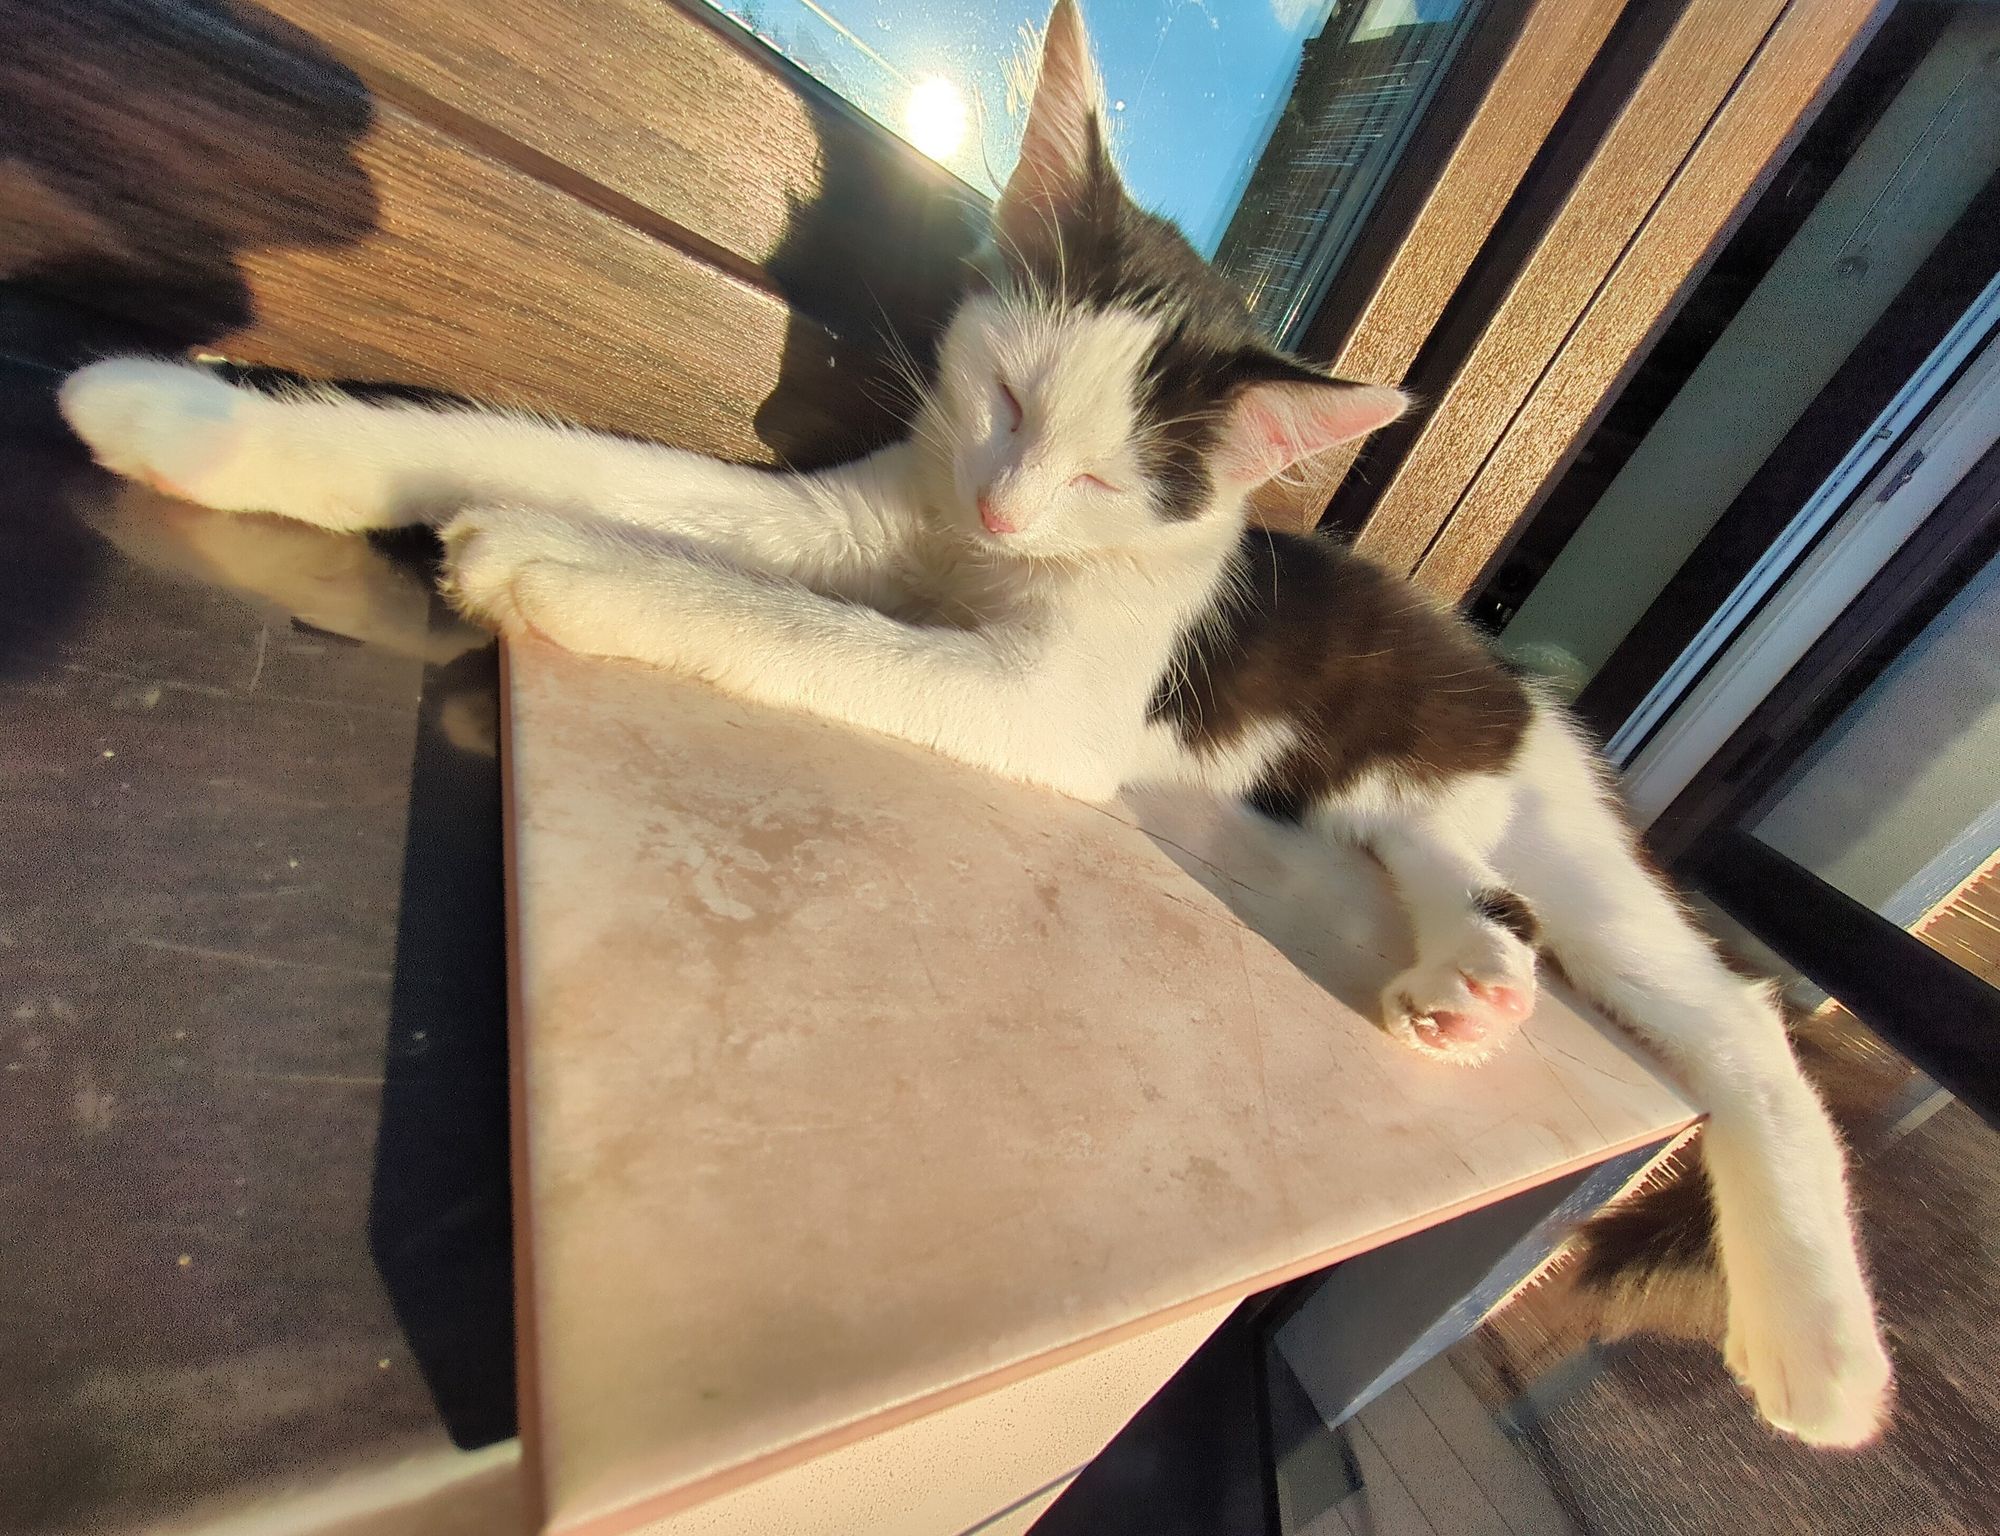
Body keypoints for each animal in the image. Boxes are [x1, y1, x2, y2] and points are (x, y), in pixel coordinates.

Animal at [50, 0, 1888, 1448]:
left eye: (1105, 479)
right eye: (1003, 397)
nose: (1005, 510)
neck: (993, 548)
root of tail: (1510, 676)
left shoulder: (1041, 694)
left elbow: (790, 617)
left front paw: (562, 565)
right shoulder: (871, 511)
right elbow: (592, 471)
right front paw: (197, 419)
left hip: (1549, 827)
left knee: (1732, 1021)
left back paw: (1819, 1352)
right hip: (1401, 809)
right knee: (1434, 870)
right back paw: (1469, 979)